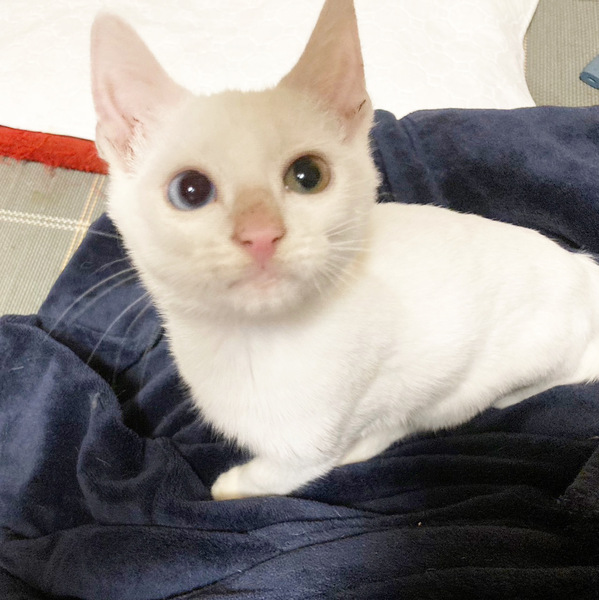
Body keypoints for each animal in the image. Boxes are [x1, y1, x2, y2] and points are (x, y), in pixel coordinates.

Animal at [90, 0, 599, 500]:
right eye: (190, 190)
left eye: (308, 175)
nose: (261, 233)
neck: (253, 342)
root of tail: (580, 269)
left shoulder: (320, 441)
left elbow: (267, 478)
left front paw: (228, 485)